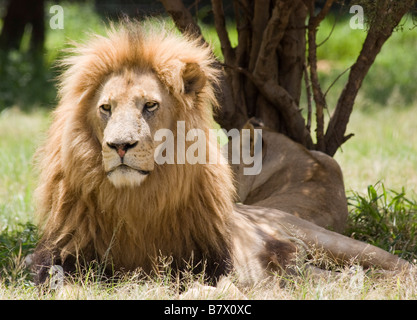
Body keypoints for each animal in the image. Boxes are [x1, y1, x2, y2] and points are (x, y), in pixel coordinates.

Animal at [33, 21, 410, 284]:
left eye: (150, 106)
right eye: (106, 108)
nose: (120, 145)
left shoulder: (210, 263)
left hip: (330, 242)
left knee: (400, 265)